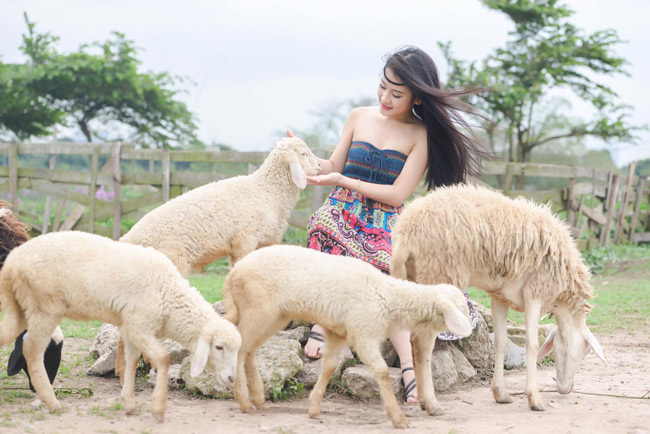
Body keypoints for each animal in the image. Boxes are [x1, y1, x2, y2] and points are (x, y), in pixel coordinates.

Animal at [0, 232, 242, 422]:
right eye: (219, 347)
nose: (232, 379)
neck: (170, 298)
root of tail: (11, 264)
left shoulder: (130, 328)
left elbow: (131, 361)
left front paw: (129, 404)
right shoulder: (139, 326)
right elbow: (163, 358)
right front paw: (158, 409)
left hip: (22, 308)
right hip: (44, 308)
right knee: (32, 349)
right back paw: (52, 403)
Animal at [220, 244, 468, 430]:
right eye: (461, 309)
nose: (467, 328)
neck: (387, 296)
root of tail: (232, 274)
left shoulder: (337, 331)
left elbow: (329, 366)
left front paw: (314, 407)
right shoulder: (363, 334)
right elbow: (382, 371)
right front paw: (398, 418)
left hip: (276, 316)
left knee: (250, 350)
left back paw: (258, 397)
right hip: (258, 309)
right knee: (242, 348)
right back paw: (244, 401)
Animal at [390, 184, 608, 414]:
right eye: (585, 351)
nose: (565, 389)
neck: (562, 298)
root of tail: (406, 232)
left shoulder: (500, 296)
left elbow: (501, 342)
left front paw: (500, 393)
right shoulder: (534, 294)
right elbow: (531, 343)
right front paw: (534, 398)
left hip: (414, 282)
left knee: (413, 339)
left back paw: (424, 400)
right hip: (439, 275)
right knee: (423, 343)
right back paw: (432, 404)